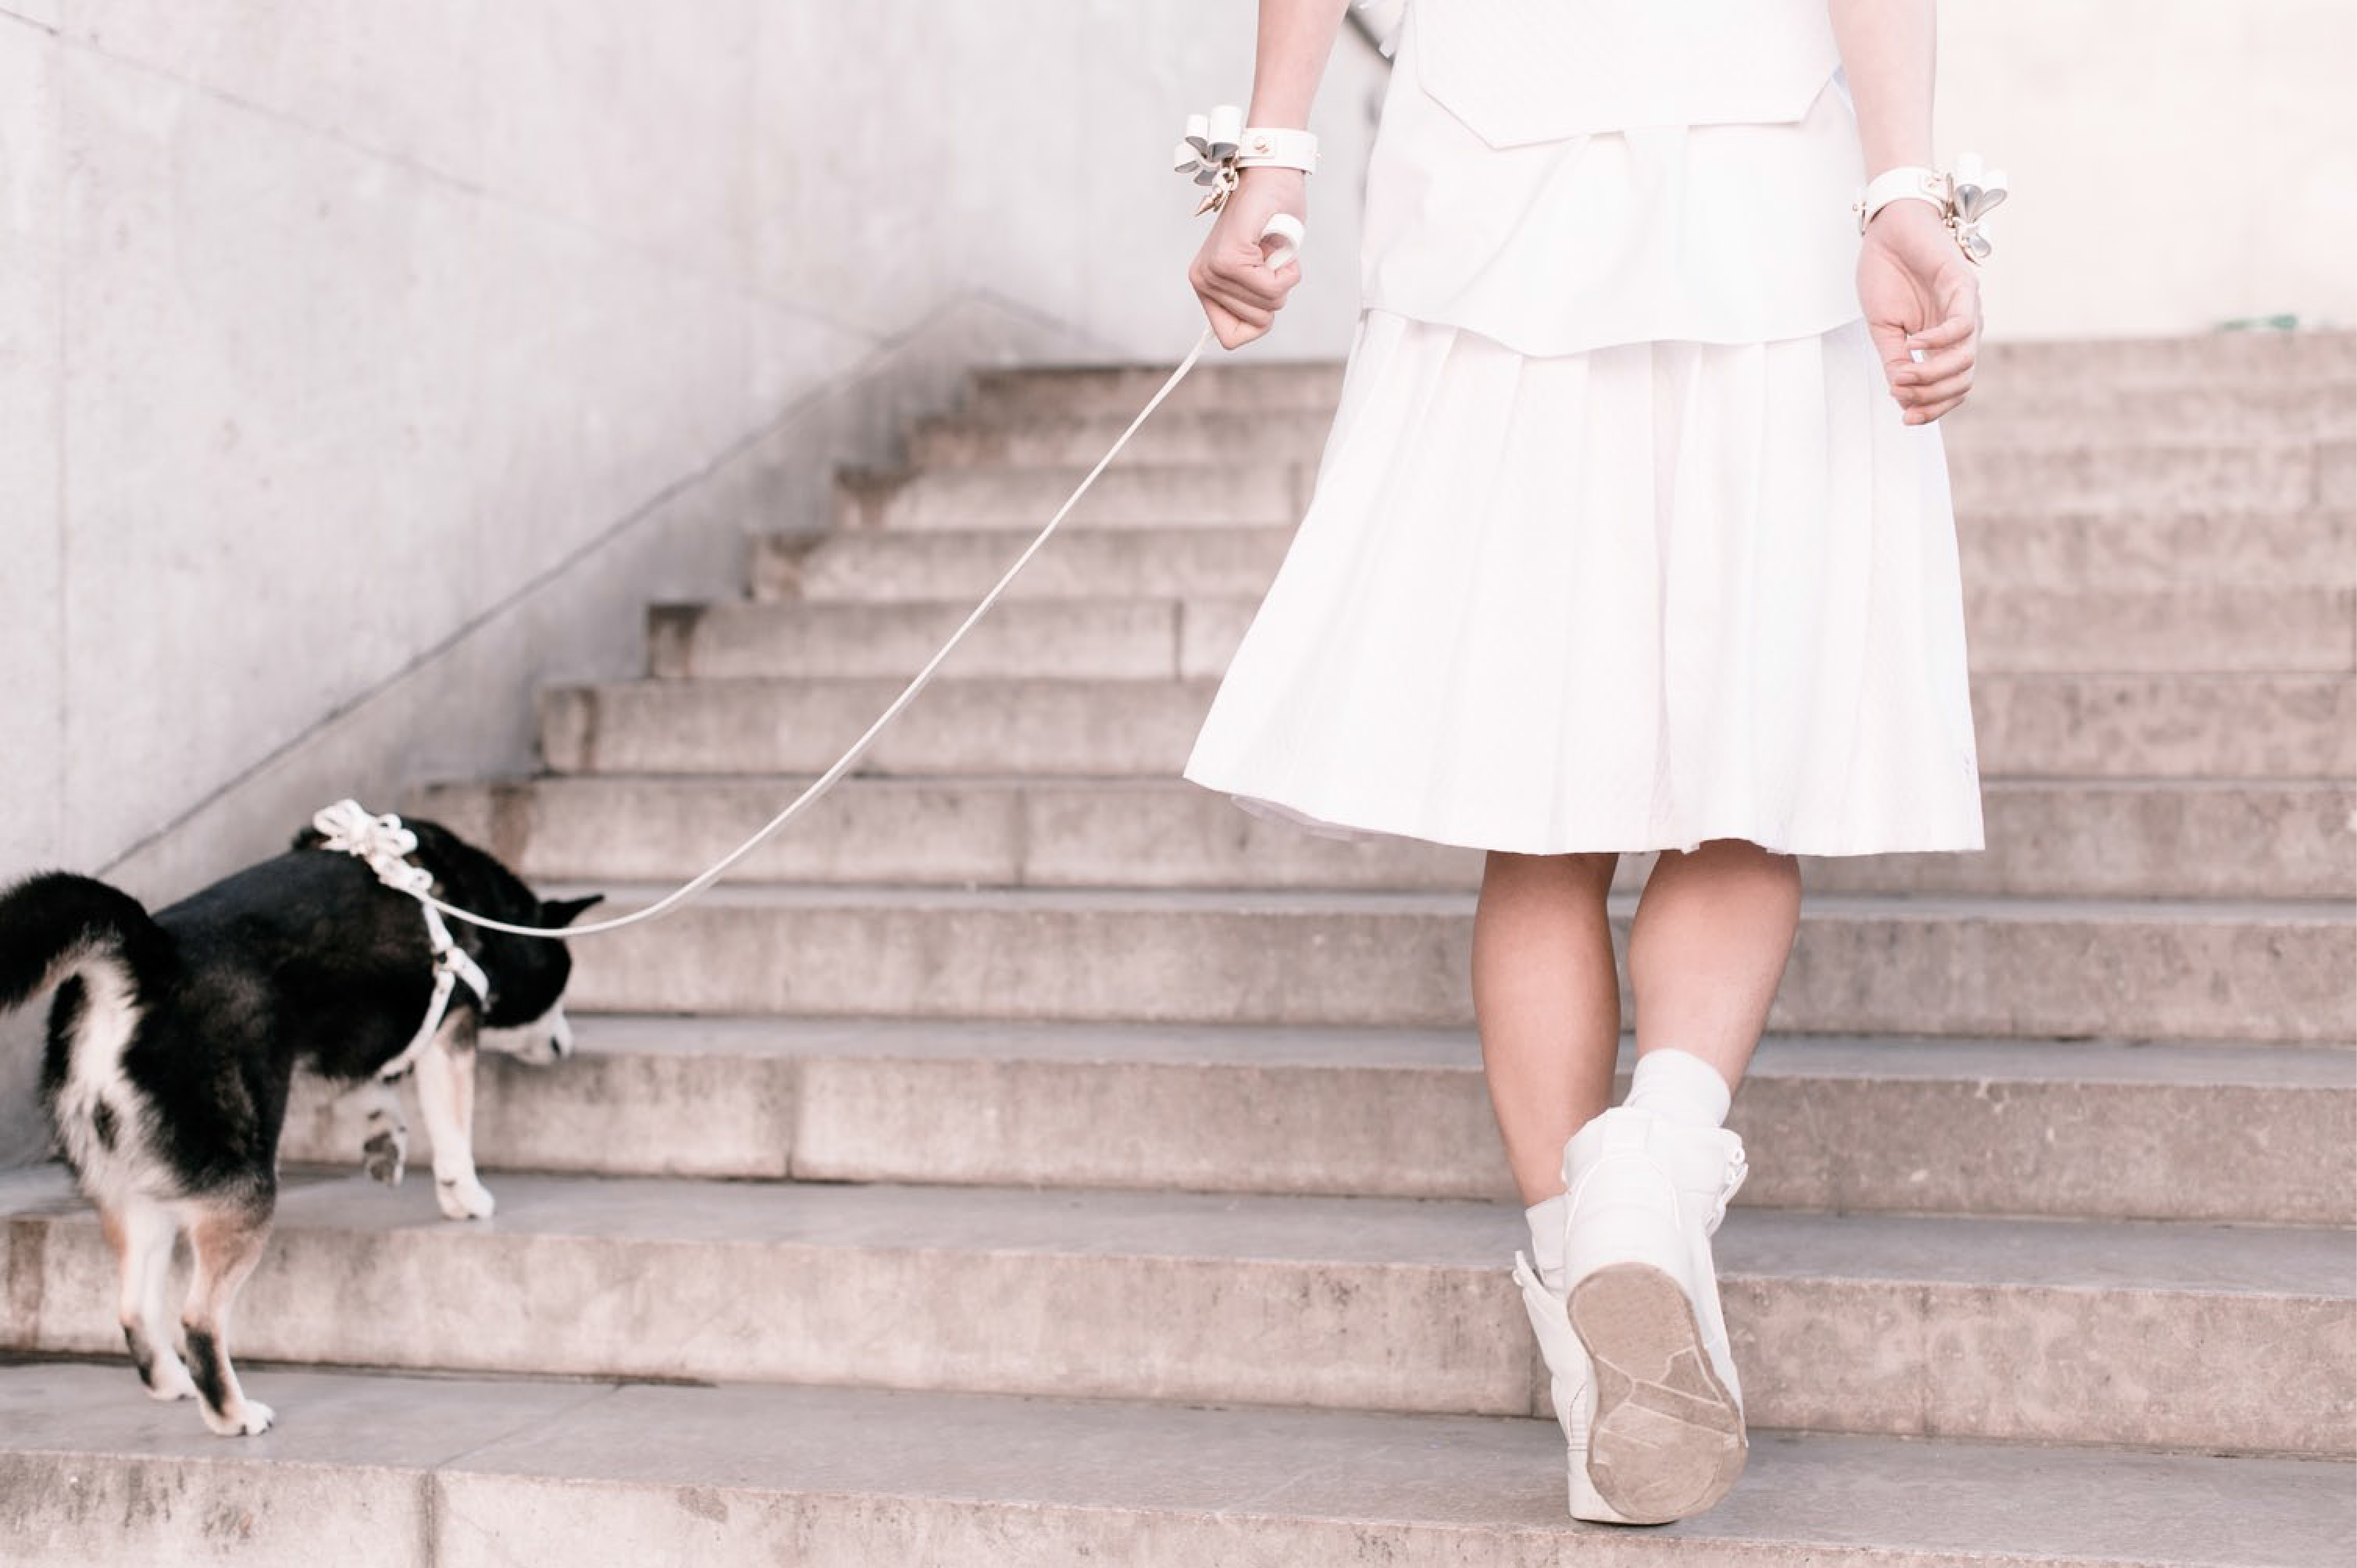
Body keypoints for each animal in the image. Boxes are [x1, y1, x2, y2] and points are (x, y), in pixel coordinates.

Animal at [0, 817, 600, 1436]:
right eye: (560, 989)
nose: (566, 1046)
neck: (466, 899)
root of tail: (146, 962)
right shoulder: (449, 1028)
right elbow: (452, 1124)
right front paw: (465, 1194)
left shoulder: (349, 1039)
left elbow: (371, 1087)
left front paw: (385, 1137)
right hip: (243, 1188)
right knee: (198, 1318)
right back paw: (232, 1413)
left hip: (132, 1195)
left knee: (135, 1308)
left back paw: (172, 1384)